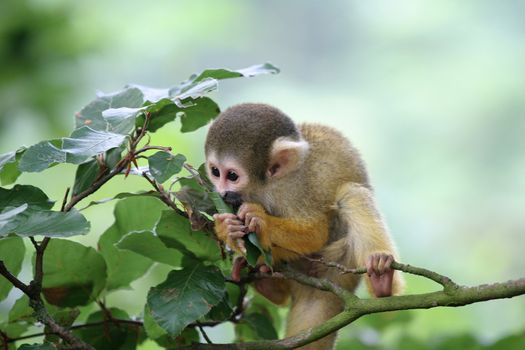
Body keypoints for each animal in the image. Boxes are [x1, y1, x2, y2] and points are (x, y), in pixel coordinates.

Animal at [204, 104, 402, 350]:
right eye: (215, 172)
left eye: (232, 175)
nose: (221, 193)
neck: (267, 186)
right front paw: (226, 227)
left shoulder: (297, 189)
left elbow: (315, 232)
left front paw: (260, 219)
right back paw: (266, 280)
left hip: (340, 261)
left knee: (352, 195)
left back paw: (382, 281)